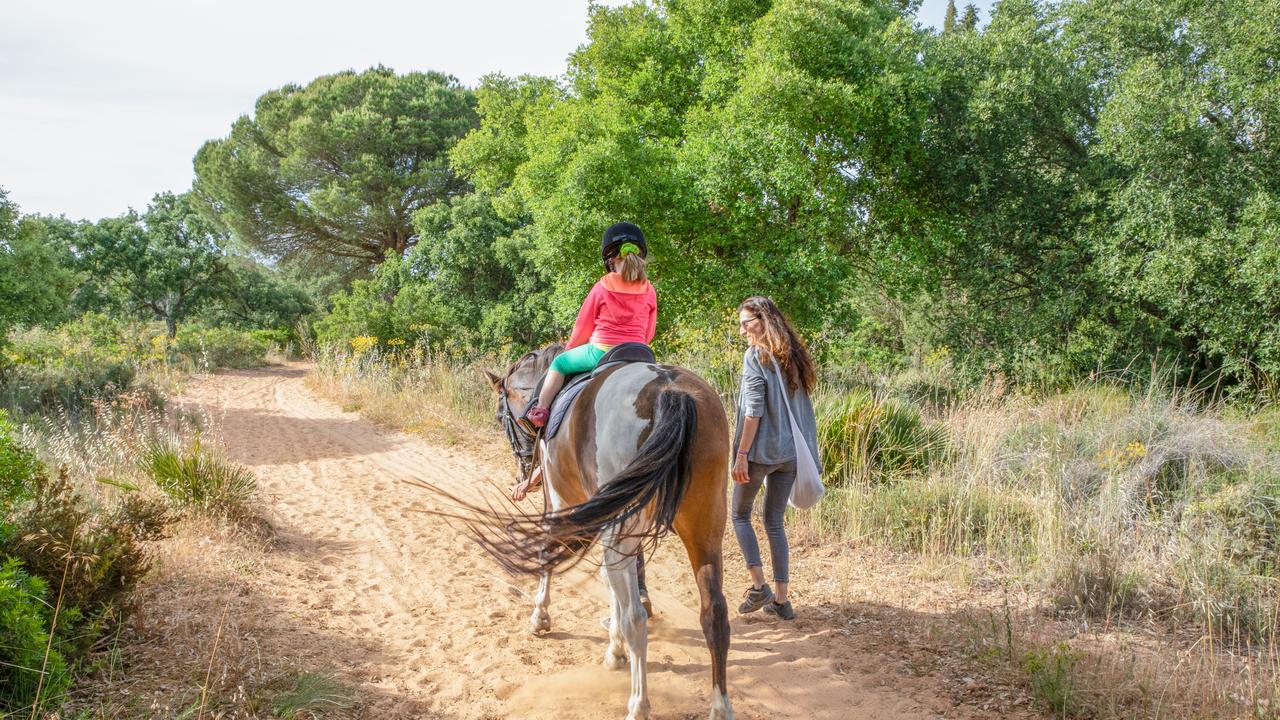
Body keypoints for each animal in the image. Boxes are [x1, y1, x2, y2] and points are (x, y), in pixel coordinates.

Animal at [473, 345, 737, 717]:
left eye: (500, 418)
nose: (523, 469)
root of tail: (670, 390)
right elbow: (612, 586)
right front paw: (614, 650)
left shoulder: (558, 501)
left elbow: (548, 556)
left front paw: (540, 616)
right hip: (706, 526)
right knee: (714, 614)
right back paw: (720, 707)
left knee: (636, 618)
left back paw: (639, 703)